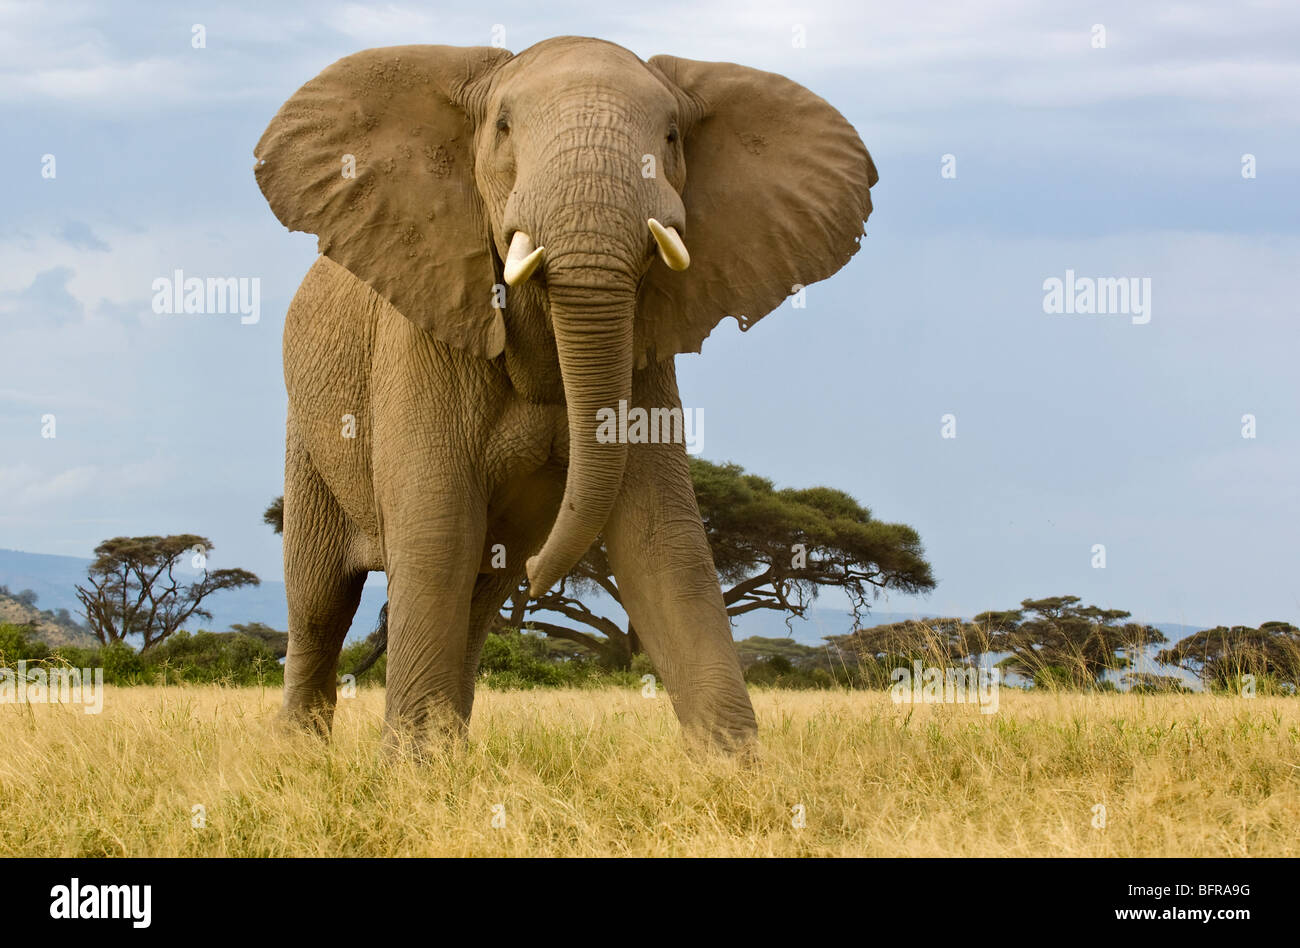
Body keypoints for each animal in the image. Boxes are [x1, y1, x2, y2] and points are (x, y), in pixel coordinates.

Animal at [253, 33, 878, 749]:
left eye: (672, 137)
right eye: (502, 128)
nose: (541, 577)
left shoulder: (644, 357)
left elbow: (662, 542)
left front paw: (735, 770)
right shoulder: (421, 335)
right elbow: (437, 531)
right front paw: (407, 769)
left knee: (479, 592)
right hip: (307, 433)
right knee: (319, 597)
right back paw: (300, 754)